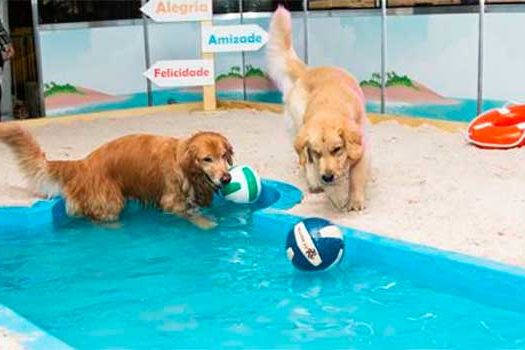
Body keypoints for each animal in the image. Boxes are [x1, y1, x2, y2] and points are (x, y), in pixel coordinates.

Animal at [0, 124, 233, 228]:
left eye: (224, 156)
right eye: (207, 159)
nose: (226, 179)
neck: (184, 165)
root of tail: (83, 163)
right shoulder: (171, 202)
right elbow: (193, 216)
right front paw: (208, 224)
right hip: (109, 202)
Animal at [266, 5, 368, 212]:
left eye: (337, 149)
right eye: (317, 152)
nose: (327, 177)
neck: (330, 107)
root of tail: (308, 70)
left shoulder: (361, 147)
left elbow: (357, 174)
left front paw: (355, 200)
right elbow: (318, 169)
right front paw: (336, 197)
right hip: (298, 126)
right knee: (306, 163)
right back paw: (314, 182)